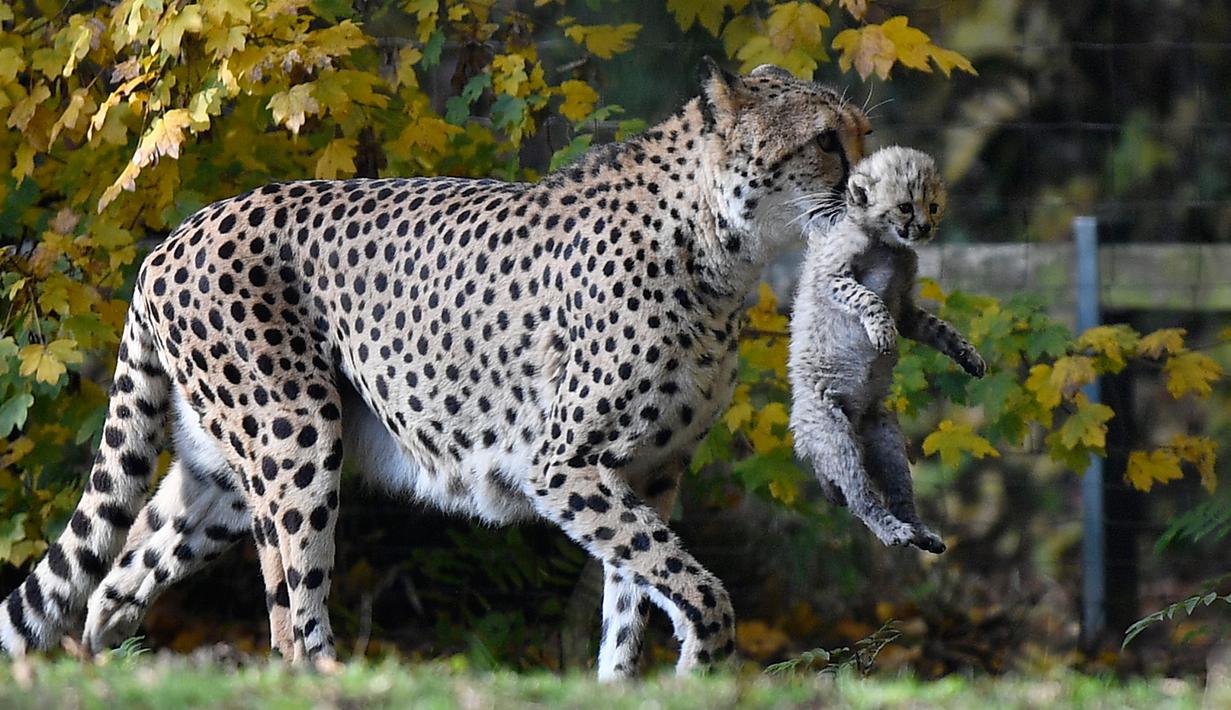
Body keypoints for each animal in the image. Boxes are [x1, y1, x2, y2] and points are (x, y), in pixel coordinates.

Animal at [0, 60, 871, 679]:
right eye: (826, 141)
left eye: (858, 133)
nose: (868, 190)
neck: (720, 247)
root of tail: (175, 235)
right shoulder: (566, 467)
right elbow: (694, 586)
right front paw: (702, 665)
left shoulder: (648, 473)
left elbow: (634, 600)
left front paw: (629, 685)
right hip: (296, 432)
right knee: (291, 612)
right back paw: (330, 679)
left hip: (221, 471)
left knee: (114, 584)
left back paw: (110, 668)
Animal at [788, 146, 985, 555]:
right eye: (906, 207)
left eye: (933, 206)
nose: (925, 227)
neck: (888, 246)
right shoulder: (834, 276)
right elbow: (867, 297)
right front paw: (881, 332)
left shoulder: (907, 309)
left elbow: (937, 327)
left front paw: (966, 353)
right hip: (835, 435)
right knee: (859, 495)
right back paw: (891, 530)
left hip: (886, 438)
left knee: (900, 492)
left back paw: (920, 533)